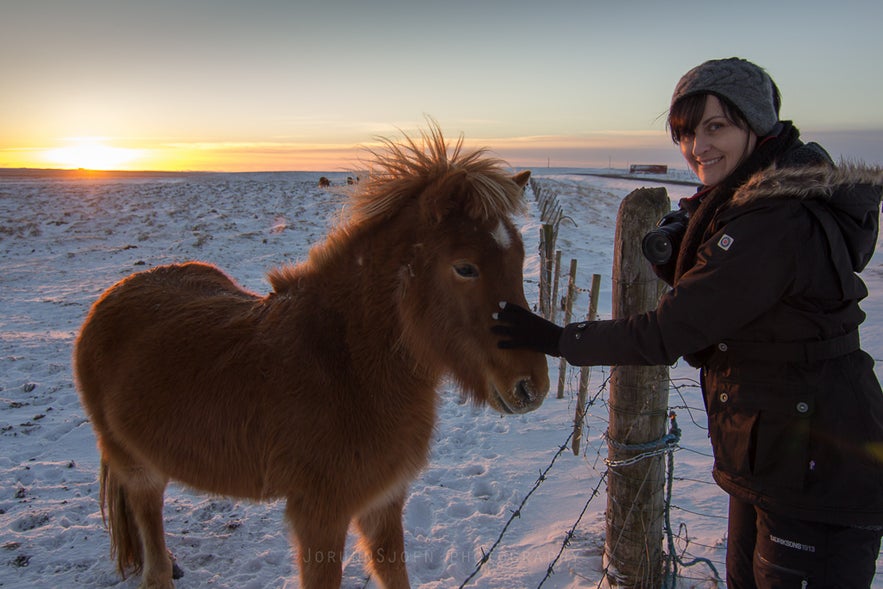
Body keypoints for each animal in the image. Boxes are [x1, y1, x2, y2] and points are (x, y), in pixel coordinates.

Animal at [72, 125, 548, 588]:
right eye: (465, 267)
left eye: (520, 257)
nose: (533, 387)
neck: (347, 365)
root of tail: (109, 299)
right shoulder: (320, 517)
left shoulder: (383, 502)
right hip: (139, 473)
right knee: (153, 566)